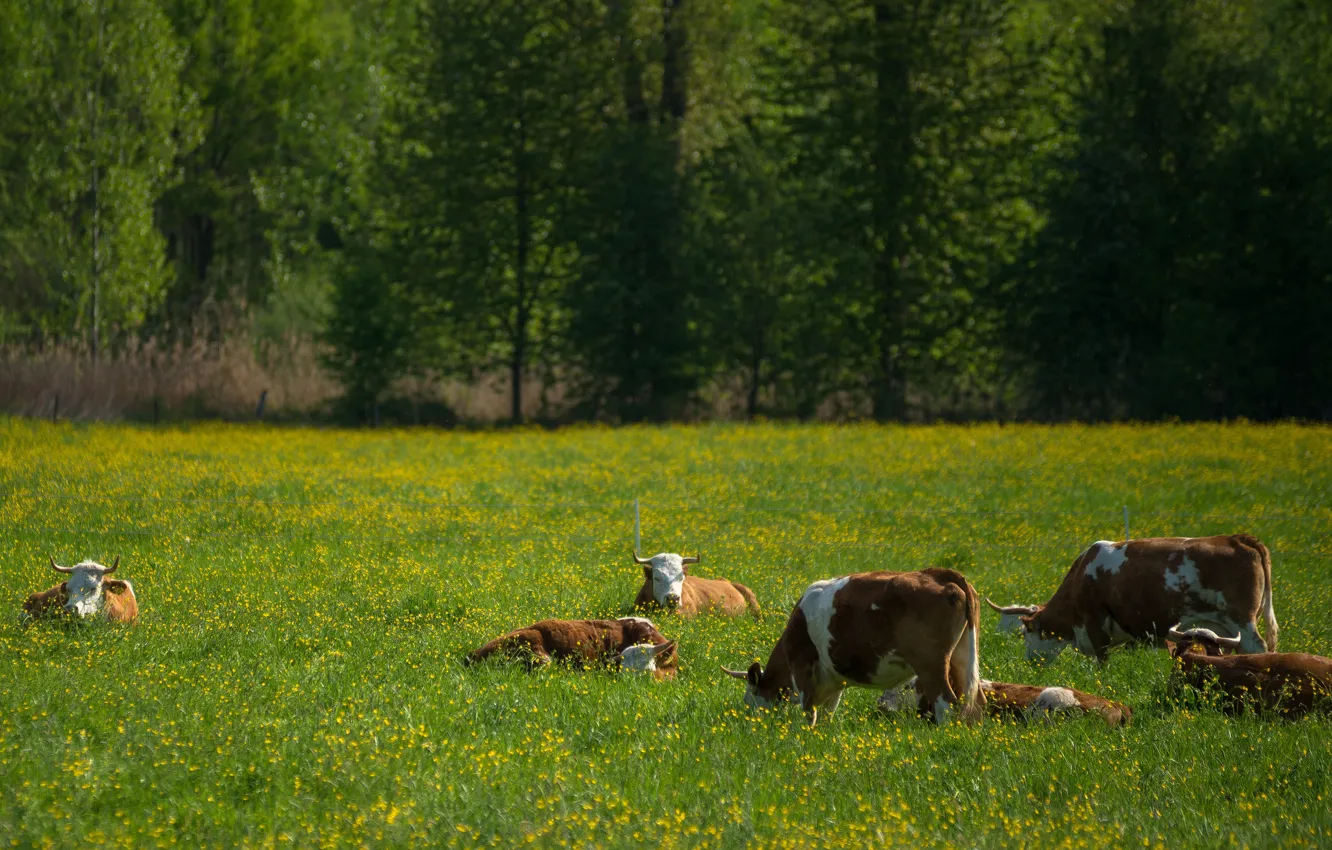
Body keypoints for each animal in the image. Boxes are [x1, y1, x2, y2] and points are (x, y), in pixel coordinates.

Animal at [721, 568, 984, 725]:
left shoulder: (802, 665)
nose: (750, 724)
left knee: (946, 704)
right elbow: (826, 712)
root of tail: (938, 573)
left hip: (931, 665)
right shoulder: (834, 680)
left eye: (748, 700)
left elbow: (809, 711)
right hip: (963, 659)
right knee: (975, 702)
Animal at [989, 535, 1277, 662]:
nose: (1030, 662)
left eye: (1026, 633)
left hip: (1243, 622)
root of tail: (1238, 539)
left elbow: (1101, 662)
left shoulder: (1096, 625)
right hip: (1227, 627)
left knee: (1257, 647)